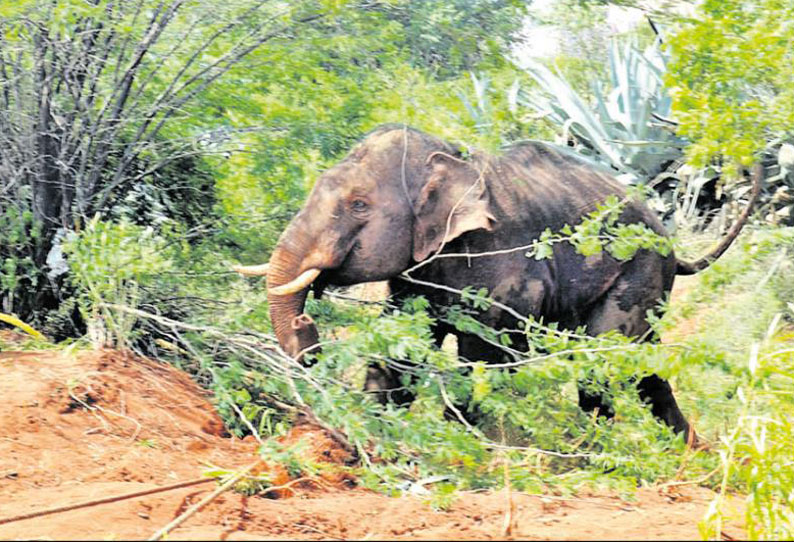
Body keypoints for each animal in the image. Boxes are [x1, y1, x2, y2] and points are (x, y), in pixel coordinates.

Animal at [235, 124, 760, 442]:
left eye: (359, 205)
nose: (307, 331)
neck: (450, 157)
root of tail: (671, 241)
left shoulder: (503, 269)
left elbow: (483, 357)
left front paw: (461, 441)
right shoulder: (417, 277)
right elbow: (402, 350)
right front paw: (377, 432)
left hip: (639, 273)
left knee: (602, 361)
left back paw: (593, 451)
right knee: (646, 368)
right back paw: (687, 452)